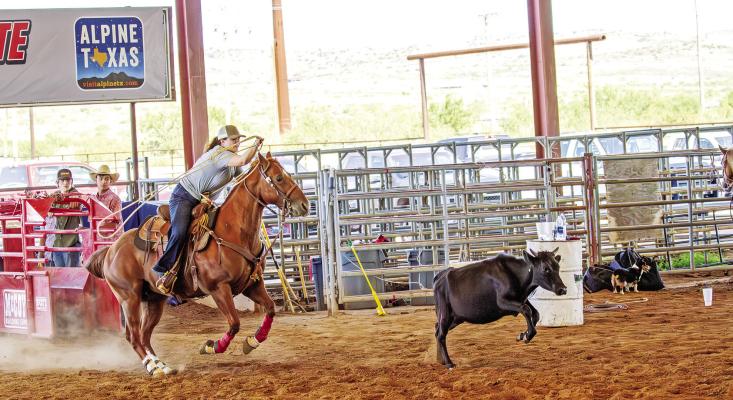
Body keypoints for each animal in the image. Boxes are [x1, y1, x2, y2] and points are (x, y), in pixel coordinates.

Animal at [433, 248, 567, 369]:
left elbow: (535, 313)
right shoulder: (503, 302)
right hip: (445, 314)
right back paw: (449, 363)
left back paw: (440, 360)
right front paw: (527, 336)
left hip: (456, 318)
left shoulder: (522, 299)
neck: (515, 275)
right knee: (441, 335)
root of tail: (441, 276)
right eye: (546, 269)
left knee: (437, 329)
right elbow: (526, 310)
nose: (563, 289)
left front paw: (522, 335)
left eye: (557, 267)